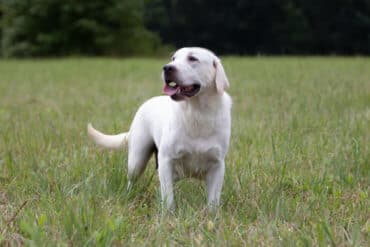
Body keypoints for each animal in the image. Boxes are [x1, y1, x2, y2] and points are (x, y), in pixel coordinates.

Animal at [87, 46, 231, 210]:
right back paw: (128, 195)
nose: (167, 68)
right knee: (132, 180)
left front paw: (212, 214)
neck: (197, 113)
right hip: (137, 159)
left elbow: (213, 201)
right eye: (173, 58)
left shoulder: (217, 165)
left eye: (193, 58)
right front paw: (169, 214)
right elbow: (168, 196)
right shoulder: (166, 160)